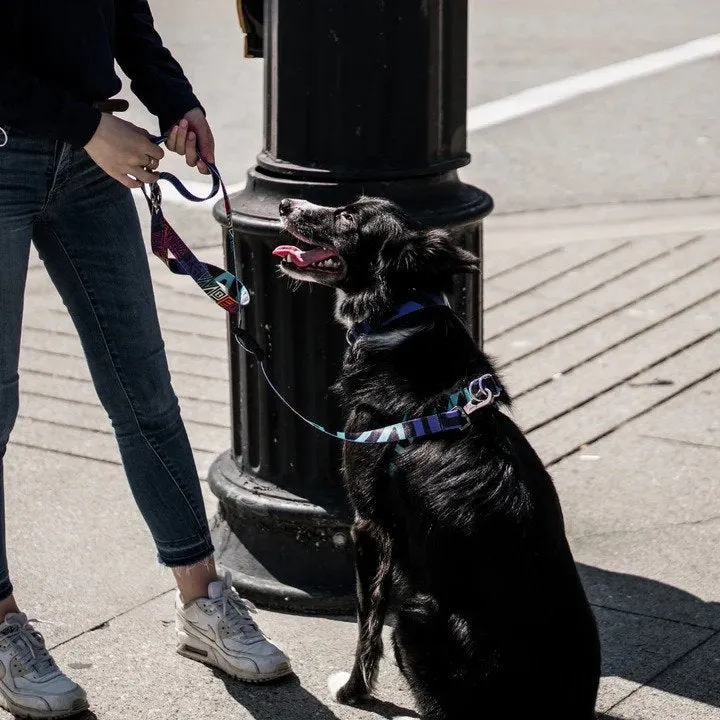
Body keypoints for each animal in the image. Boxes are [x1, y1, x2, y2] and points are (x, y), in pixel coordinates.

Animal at [272, 197, 600, 720]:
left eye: (347, 217)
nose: (285, 203)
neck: (400, 315)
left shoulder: (369, 526)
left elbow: (367, 625)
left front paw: (352, 691)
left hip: (416, 617)